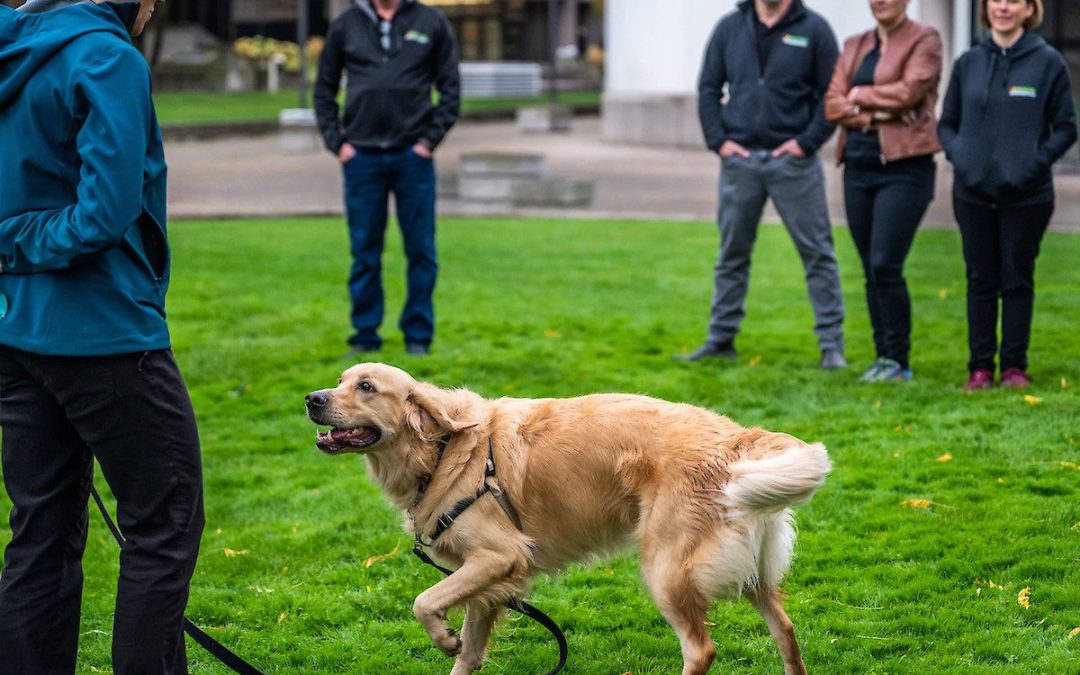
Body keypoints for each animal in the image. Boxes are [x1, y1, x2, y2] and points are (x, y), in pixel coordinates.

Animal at [304, 362, 825, 673]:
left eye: (366, 387)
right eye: (341, 380)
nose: (312, 398)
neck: (445, 449)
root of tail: (736, 439)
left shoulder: (498, 556)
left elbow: (423, 602)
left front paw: (443, 638)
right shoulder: (488, 581)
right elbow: (469, 653)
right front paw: (456, 646)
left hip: (666, 570)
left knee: (701, 649)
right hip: (752, 572)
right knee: (786, 631)